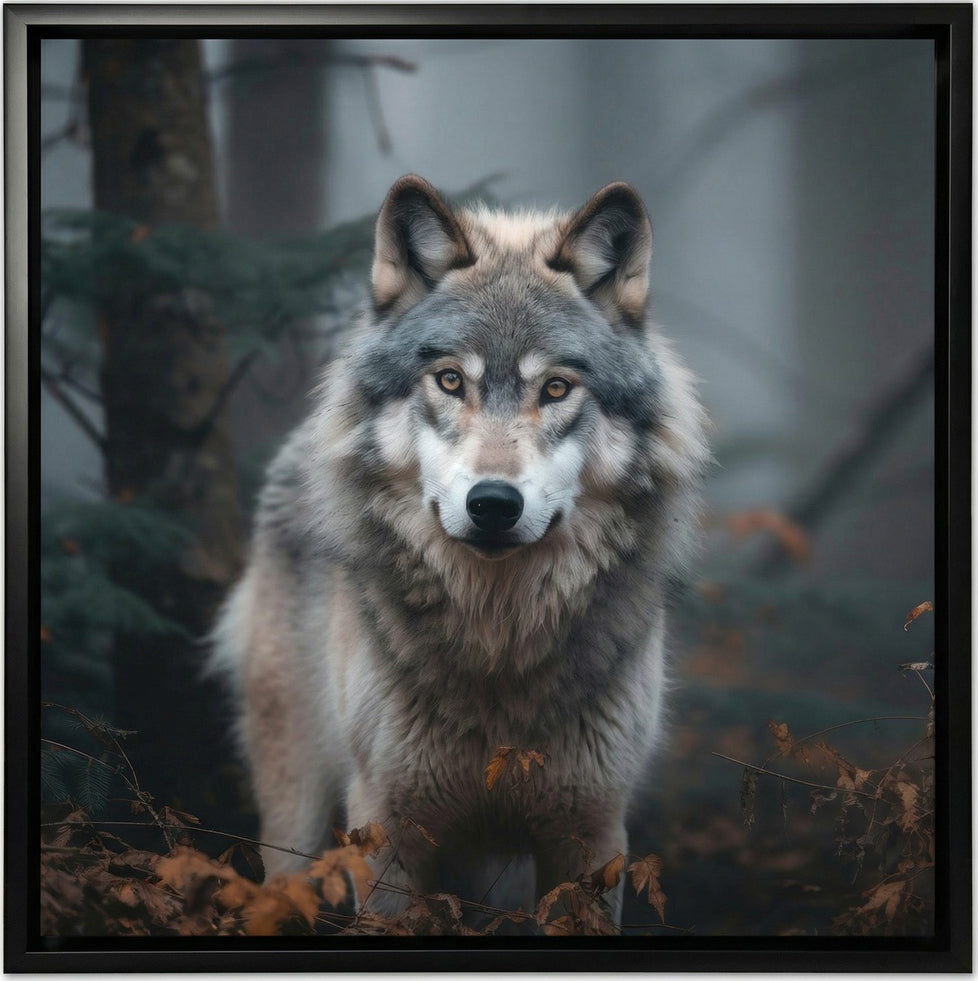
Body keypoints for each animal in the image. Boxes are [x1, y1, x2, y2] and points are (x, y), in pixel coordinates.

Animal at [210, 175, 709, 925]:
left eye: (555, 388)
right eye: (450, 381)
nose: (493, 503)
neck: (497, 643)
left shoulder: (590, 833)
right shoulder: (387, 829)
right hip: (296, 810)